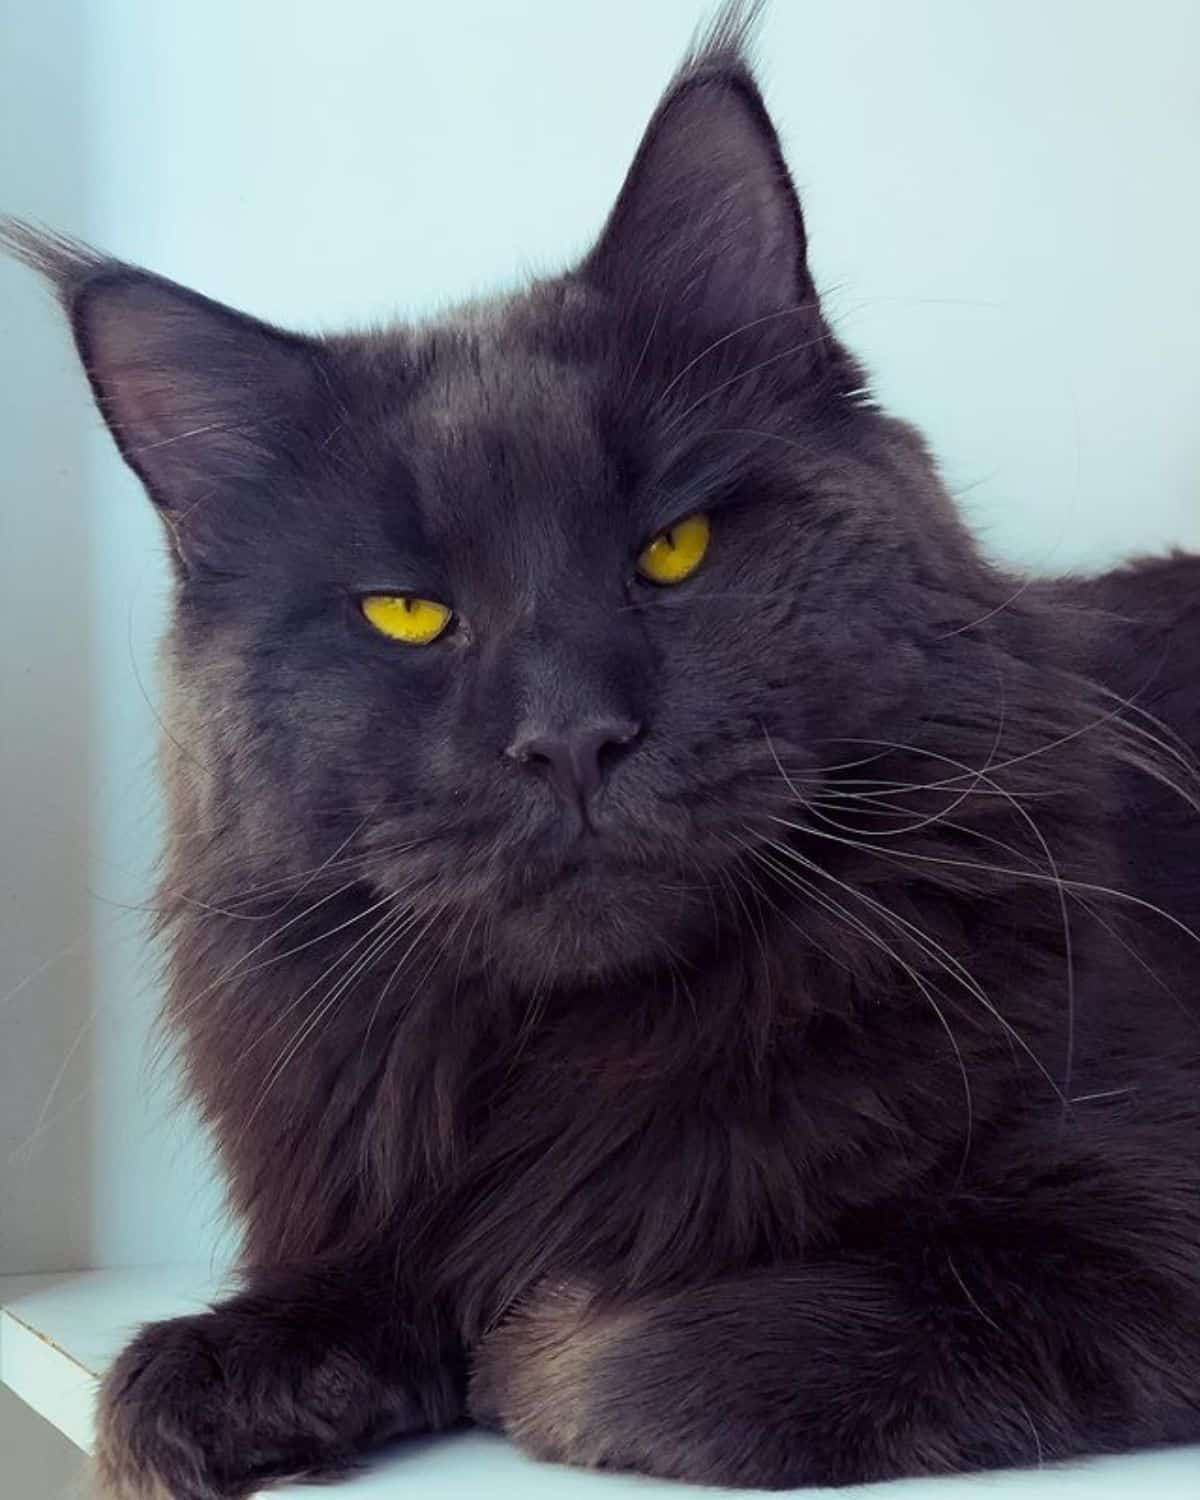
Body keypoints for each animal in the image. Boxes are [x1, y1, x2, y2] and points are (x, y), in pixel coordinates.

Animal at [2, 5, 1200, 1494]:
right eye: (408, 614)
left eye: (672, 548)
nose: (570, 738)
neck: (611, 1057)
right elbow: (248, 1330)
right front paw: (224, 1383)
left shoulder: (1135, 1222)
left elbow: (636, 1352)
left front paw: (526, 1337)